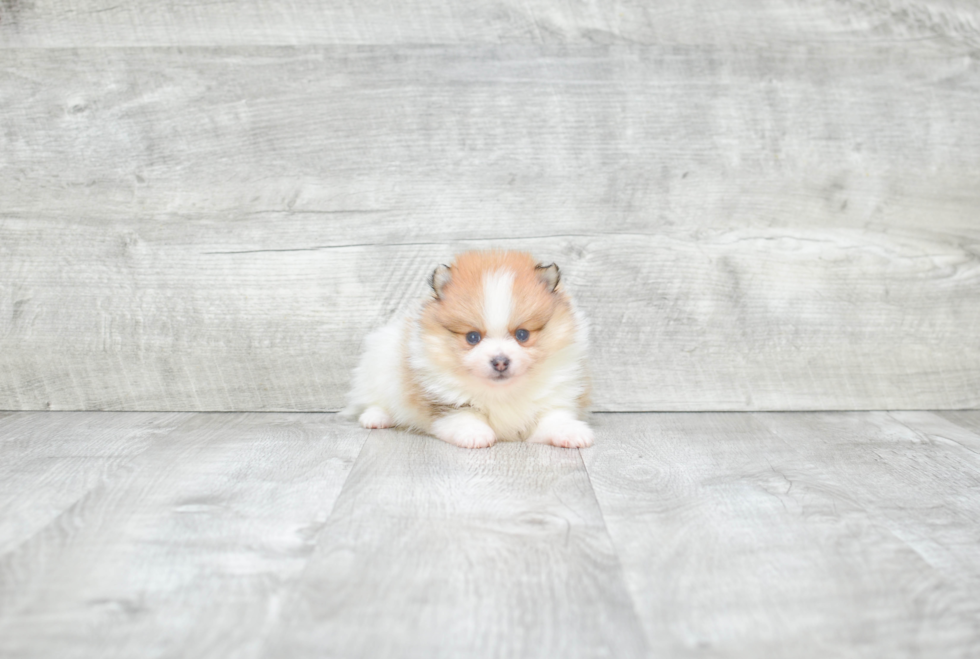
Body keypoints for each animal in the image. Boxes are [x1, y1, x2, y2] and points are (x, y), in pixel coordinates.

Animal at [340, 251, 592, 448]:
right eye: (472, 337)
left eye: (522, 335)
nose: (500, 361)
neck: (502, 393)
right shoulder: (444, 401)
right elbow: (463, 415)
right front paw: (475, 434)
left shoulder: (551, 399)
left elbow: (553, 418)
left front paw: (573, 432)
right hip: (381, 362)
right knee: (373, 398)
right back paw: (376, 417)